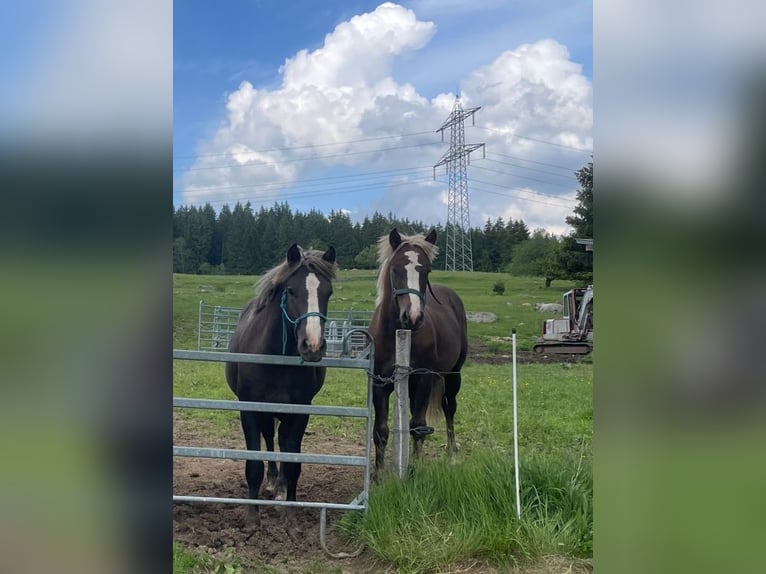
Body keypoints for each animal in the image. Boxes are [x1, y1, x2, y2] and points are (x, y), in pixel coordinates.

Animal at [225, 245, 340, 528]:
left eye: (328, 292)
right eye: (291, 290)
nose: (312, 346)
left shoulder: (300, 412)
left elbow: (294, 464)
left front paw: (290, 515)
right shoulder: (250, 410)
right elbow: (253, 465)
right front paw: (252, 517)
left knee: (283, 442)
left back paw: (279, 486)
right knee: (269, 438)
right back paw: (271, 483)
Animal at [368, 227, 468, 480]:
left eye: (427, 270)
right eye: (395, 268)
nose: (412, 316)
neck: (396, 334)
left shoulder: (423, 379)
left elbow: (417, 425)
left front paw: (414, 467)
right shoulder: (379, 384)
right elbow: (380, 430)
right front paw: (377, 476)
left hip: (452, 376)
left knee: (449, 409)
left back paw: (452, 453)